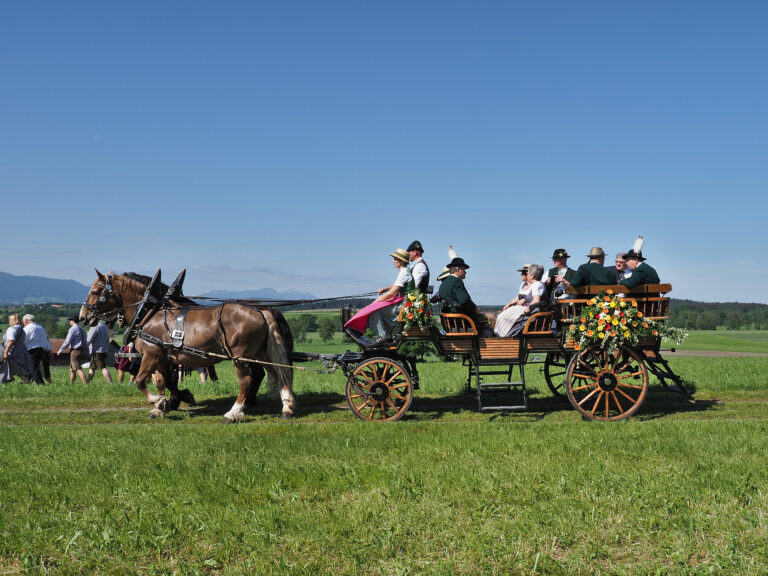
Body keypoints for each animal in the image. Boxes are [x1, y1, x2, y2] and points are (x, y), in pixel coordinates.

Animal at [81, 270, 296, 424]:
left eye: (95, 292)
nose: (84, 316)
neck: (148, 313)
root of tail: (260, 310)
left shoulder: (151, 354)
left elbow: (141, 381)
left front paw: (158, 401)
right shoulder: (162, 357)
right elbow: (161, 381)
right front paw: (161, 406)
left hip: (240, 358)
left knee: (248, 381)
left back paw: (233, 413)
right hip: (262, 353)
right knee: (279, 374)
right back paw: (286, 408)